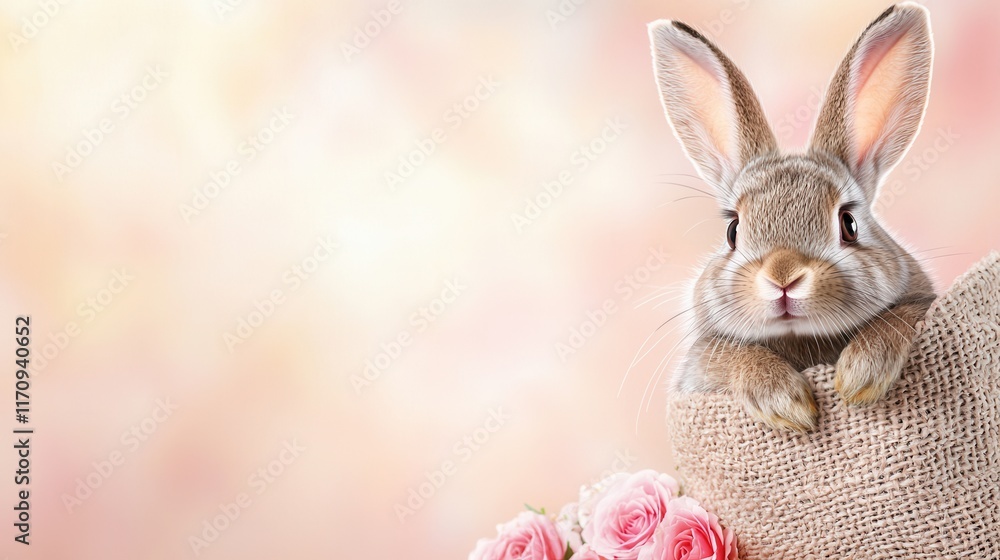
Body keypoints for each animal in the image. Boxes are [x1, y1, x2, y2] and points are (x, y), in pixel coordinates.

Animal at [648, 3, 938, 432]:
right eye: (733, 230)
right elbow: (733, 355)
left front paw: (858, 377)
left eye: (849, 224)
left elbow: (900, 318)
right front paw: (788, 404)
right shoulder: (703, 364)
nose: (783, 277)